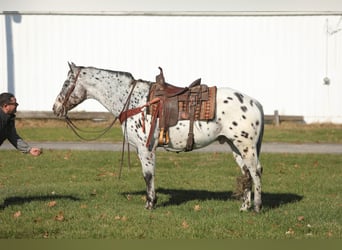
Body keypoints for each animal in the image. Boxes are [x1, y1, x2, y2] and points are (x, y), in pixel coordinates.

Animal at [52, 62, 264, 211]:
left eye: (66, 83)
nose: (55, 108)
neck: (134, 100)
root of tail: (255, 102)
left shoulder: (145, 148)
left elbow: (148, 175)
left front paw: (150, 203)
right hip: (235, 145)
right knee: (246, 173)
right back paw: (244, 207)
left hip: (246, 146)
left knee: (255, 171)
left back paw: (257, 207)